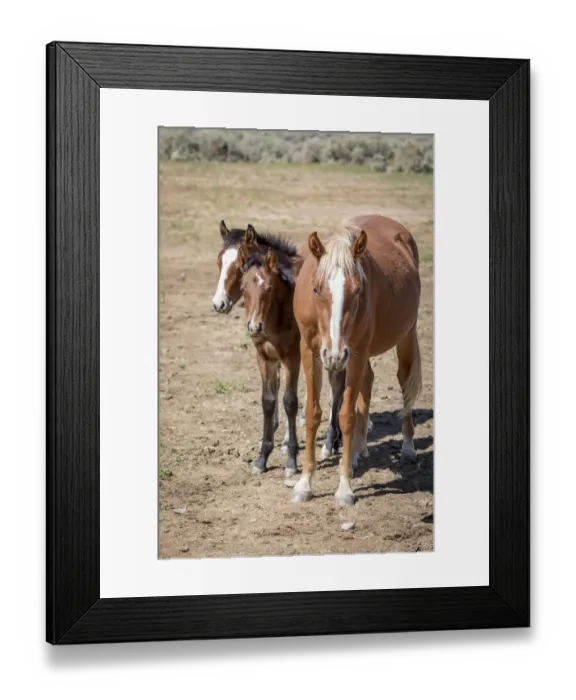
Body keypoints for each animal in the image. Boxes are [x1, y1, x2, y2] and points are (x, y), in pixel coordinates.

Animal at [237, 237, 302, 477]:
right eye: (243, 288)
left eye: (269, 288)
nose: (254, 327)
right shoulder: (265, 358)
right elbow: (268, 401)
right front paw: (262, 458)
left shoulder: (292, 357)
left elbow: (290, 402)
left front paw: (291, 461)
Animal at [292, 214, 422, 506]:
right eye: (315, 289)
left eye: (358, 289)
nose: (335, 354)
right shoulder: (309, 351)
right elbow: (313, 413)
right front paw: (304, 484)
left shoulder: (357, 351)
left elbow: (347, 416)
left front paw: (344, 489)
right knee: (368, 382)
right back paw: (358, 450)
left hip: (405, 336)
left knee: (405, 383)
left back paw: (407, 446)